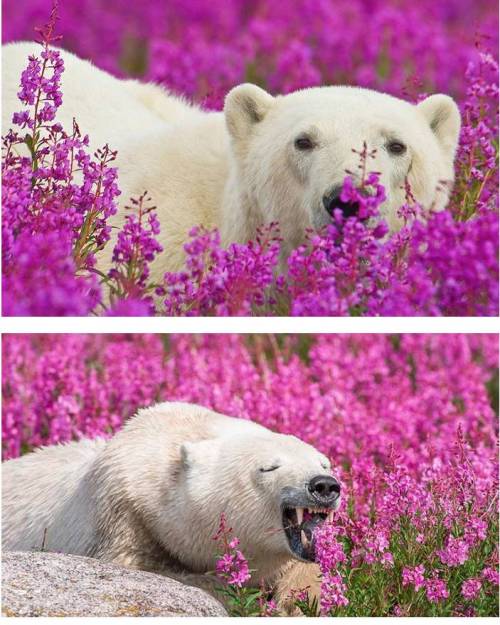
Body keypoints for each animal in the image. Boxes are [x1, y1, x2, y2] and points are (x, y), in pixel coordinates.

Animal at [1, 402, 342, 612]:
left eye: (323, 462)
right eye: (269, 467)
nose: (324, 485)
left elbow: (304, 571)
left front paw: (293, 602)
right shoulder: (123, 516)